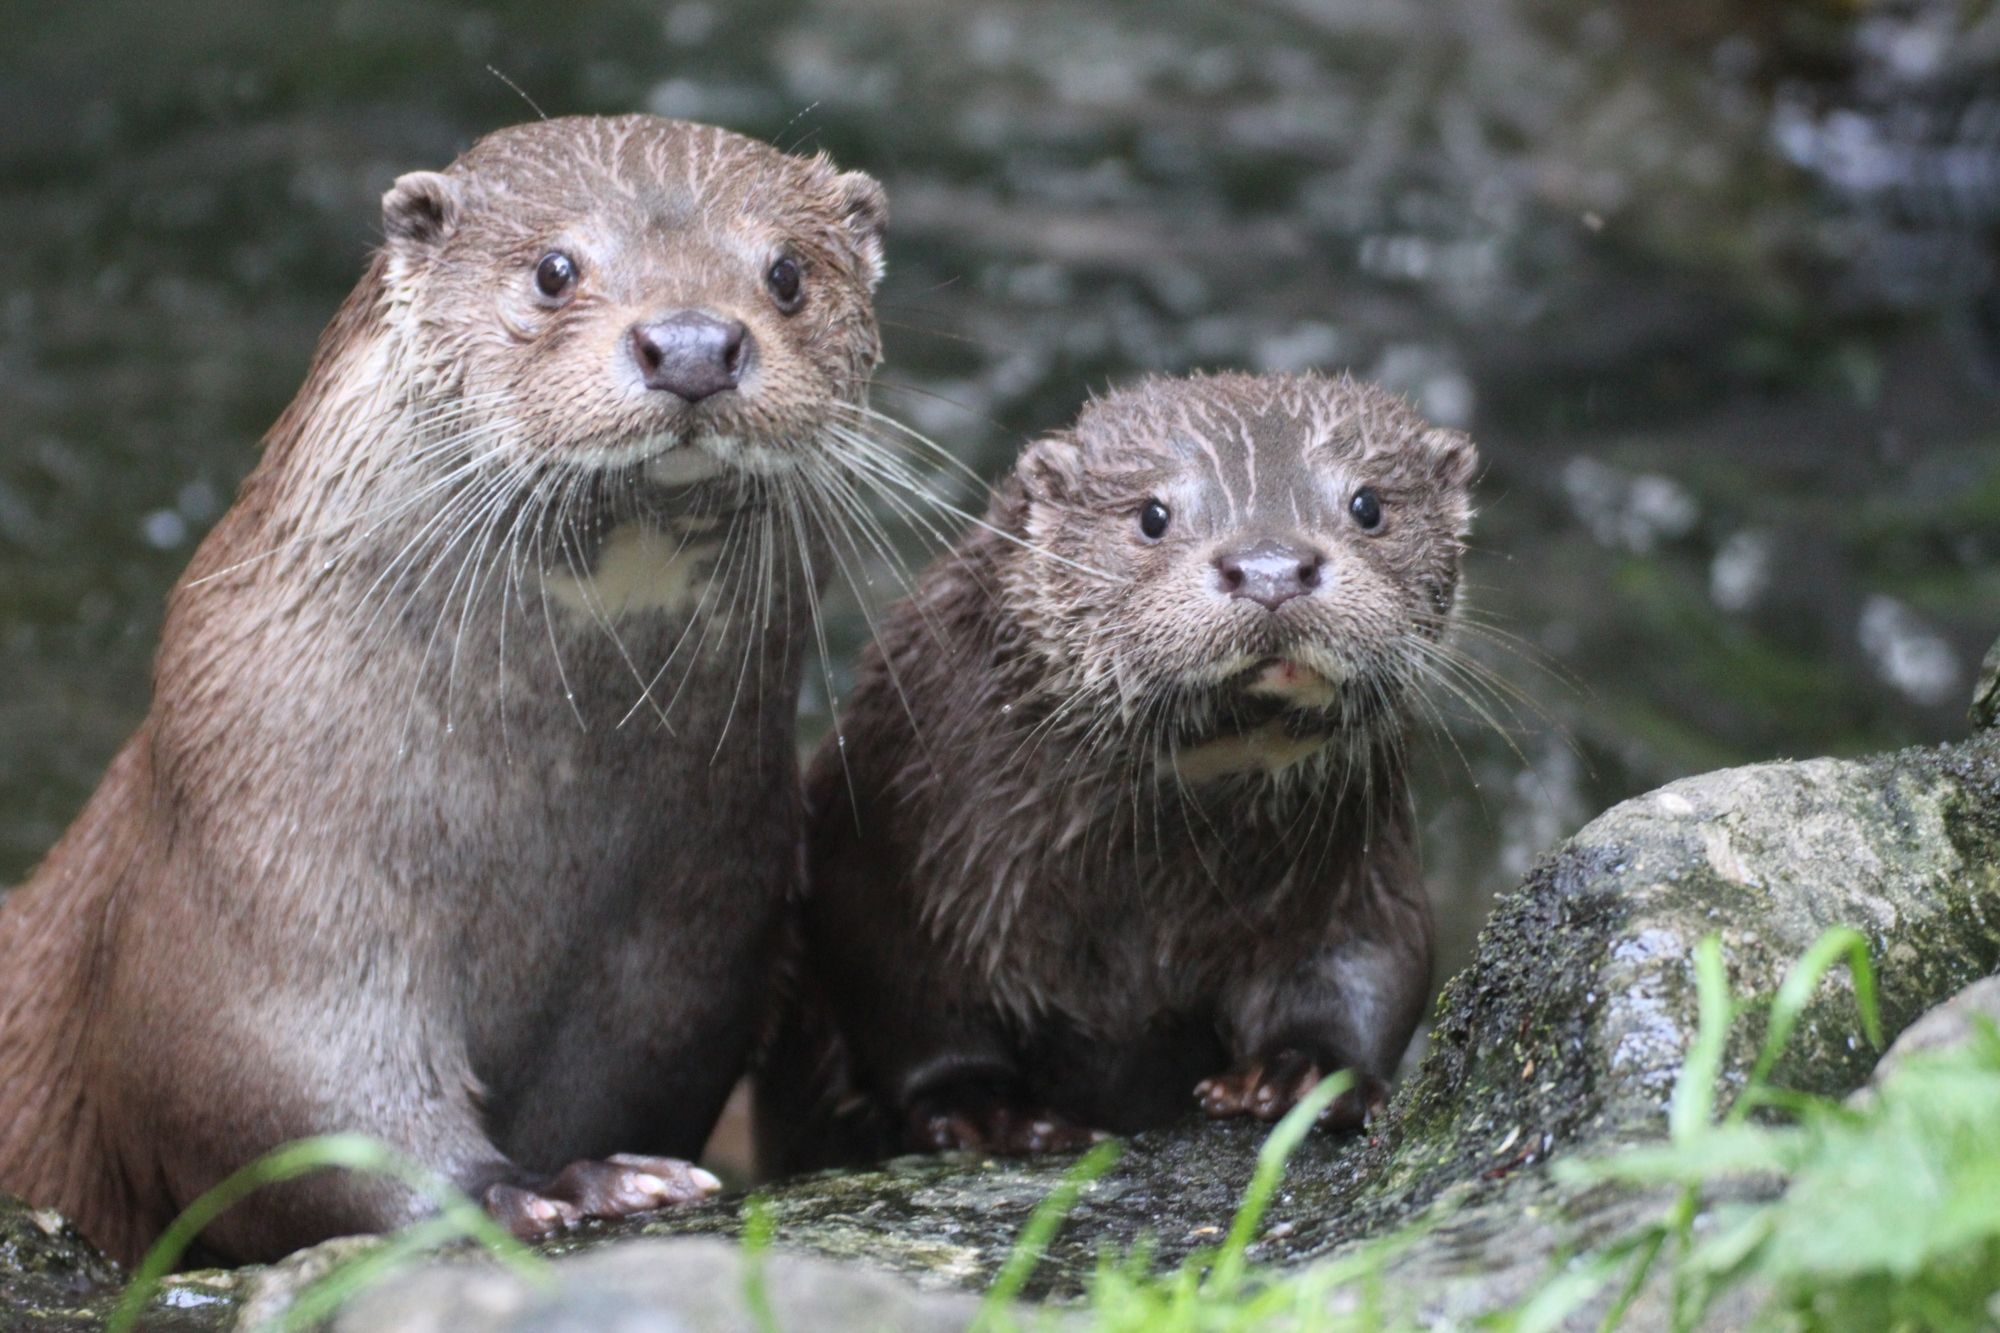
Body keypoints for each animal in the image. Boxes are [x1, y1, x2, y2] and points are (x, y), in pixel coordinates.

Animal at [0, 111, 892, 1256]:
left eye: (785, 273)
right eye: (554, 269)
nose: (694, 343)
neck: (542, 835)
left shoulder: (689, 939)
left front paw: (611, 1172)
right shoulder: (256, 861)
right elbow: (279, 1094)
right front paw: (516, 1190)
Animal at [756, 370, 1480, 1160]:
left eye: (1368, 504)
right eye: (1152, 515)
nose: (1270, 569)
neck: (1145, 896)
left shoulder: (1356, 866)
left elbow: (1371, 963)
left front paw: (1301, 1073)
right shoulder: (893, 855)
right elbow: (906, 999)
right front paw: (988, 1111)